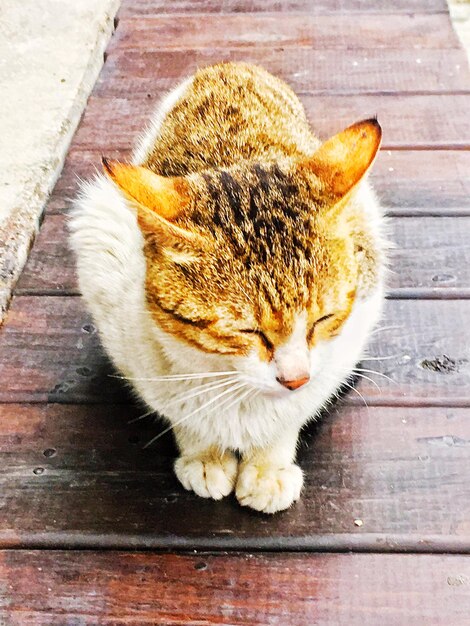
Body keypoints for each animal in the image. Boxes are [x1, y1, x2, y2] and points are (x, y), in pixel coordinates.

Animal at [70, 62, 386, 512]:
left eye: (323, 319)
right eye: (247, 331)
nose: (295, 379)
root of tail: (233, 65)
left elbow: (292, 414)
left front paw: (268, 465)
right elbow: (180, 412)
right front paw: (204, 455)